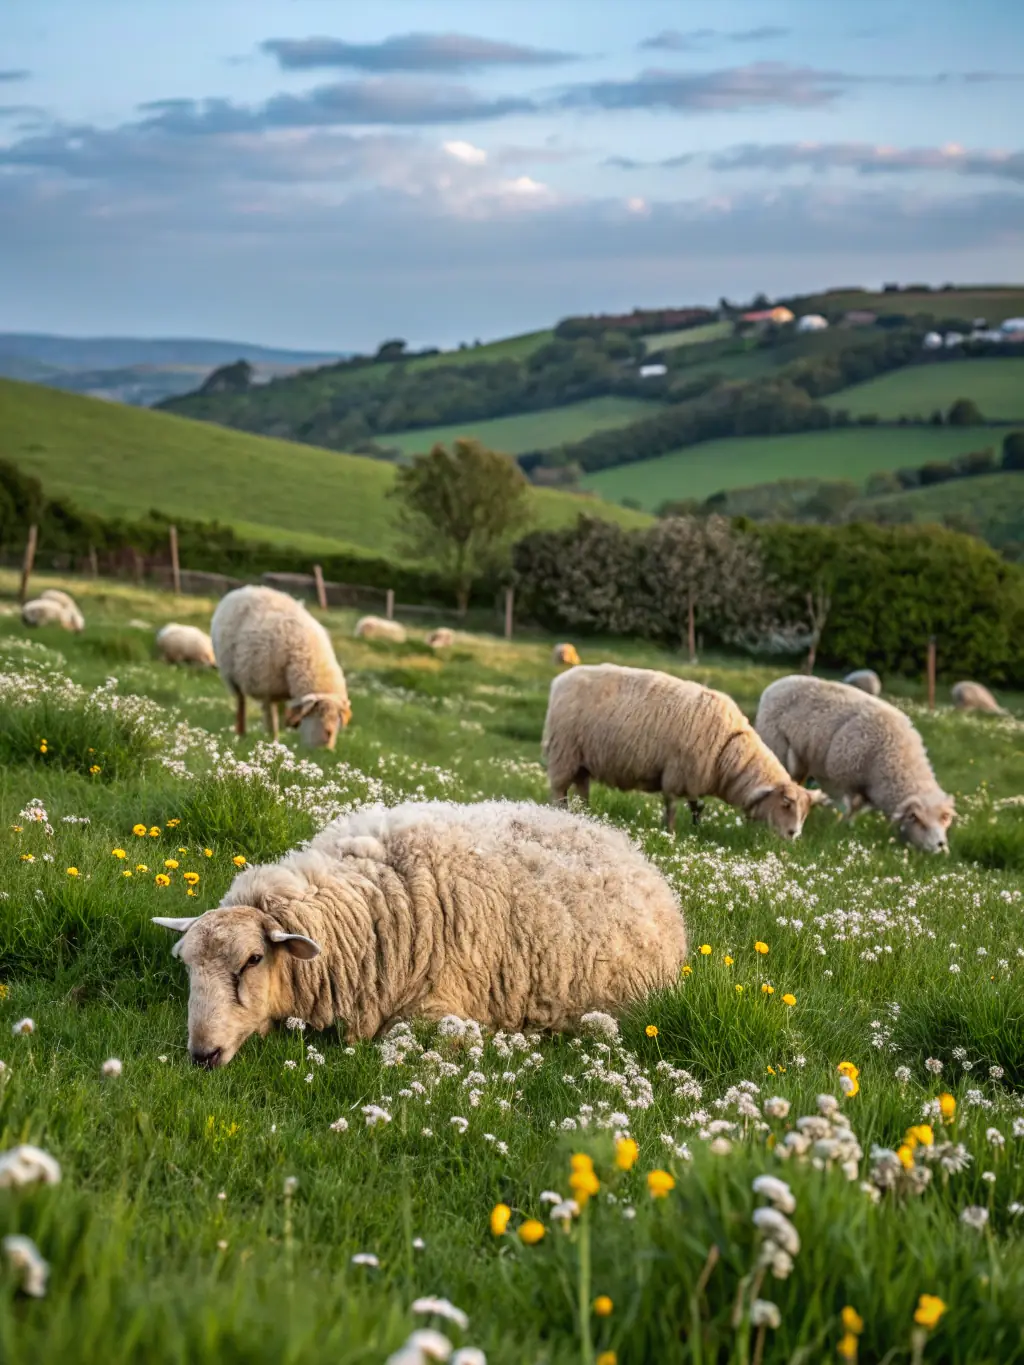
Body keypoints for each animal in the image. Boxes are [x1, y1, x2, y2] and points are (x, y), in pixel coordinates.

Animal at [210, 585, 351, 749]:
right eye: (317, 714)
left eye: (337, 720)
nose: (325, 749)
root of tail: (243, 590)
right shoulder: (267, 689)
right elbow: (272, 720)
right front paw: (274, 742)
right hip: (232, 676)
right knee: (241, 704)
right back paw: (241, 733)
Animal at [543, 663, 824, 838]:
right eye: (785, 804)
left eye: (805, 812)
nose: (794, 835)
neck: (729, 750)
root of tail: (560, 680)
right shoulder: (677, 773)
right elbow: (672, 807)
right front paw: (671, 833)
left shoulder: (692, 778)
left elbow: (696, 806)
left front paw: (696, 827)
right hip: (564, 750)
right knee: (559, 789)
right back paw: (562, 812)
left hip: (581, 757)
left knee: (582, 787)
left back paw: (586, 814)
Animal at [755, 675, 954, 853]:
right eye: (920, 821)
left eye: (944, 820)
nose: (940, 845)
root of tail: (777, 683)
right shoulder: (845, 777)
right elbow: (849, 806)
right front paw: (840, 825)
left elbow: (857, 808)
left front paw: (847, 825)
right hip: (776, 743)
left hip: (800, 757)